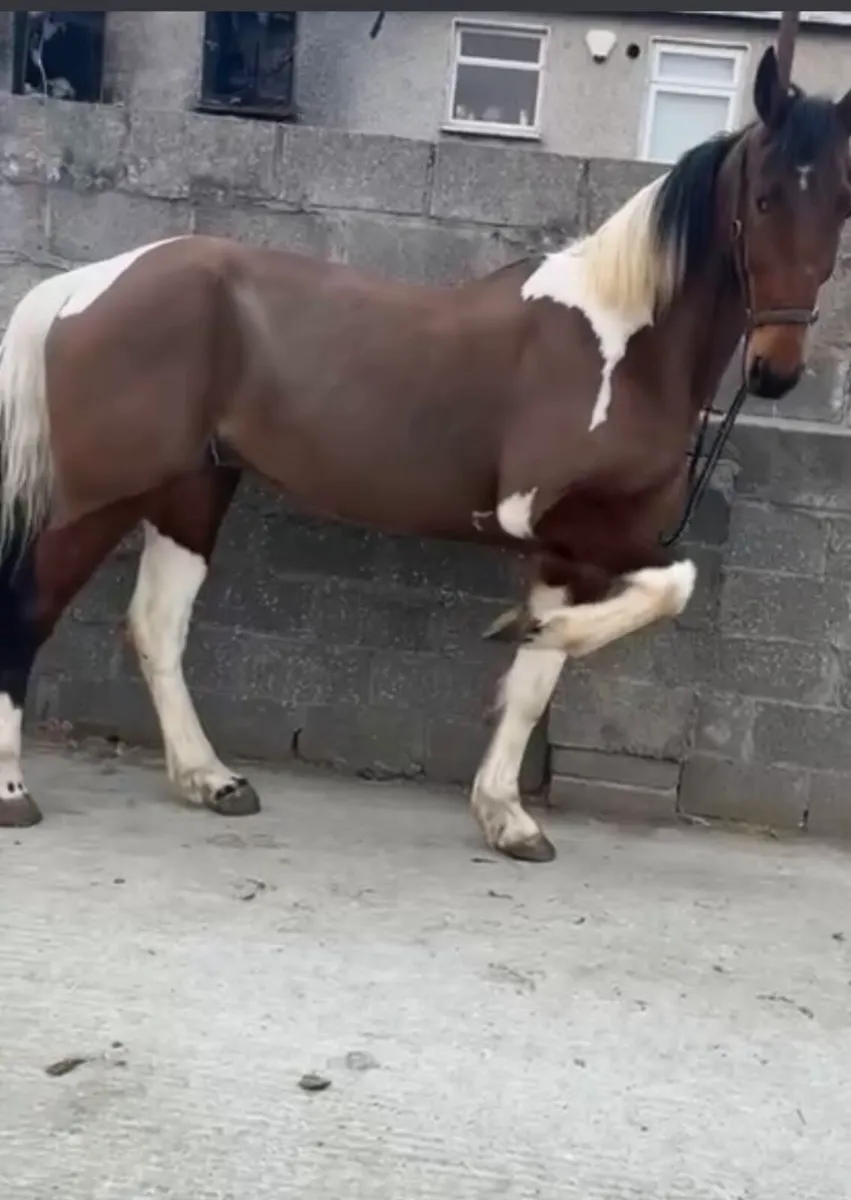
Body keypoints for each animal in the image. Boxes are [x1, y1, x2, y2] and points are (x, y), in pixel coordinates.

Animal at [1, 47, 849, 862]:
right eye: (764, 198)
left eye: (839, 206)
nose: (776, 371)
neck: (624, 345)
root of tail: (85, 286)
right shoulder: (550, 521)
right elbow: (670, 584)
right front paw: (521, 634)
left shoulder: (568, 558)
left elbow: (537, 685)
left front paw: (508, 816)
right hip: (102, 496)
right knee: (30, 607)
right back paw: (15, 793)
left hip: (191, 491)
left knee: (156, 626)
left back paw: (211, 779)